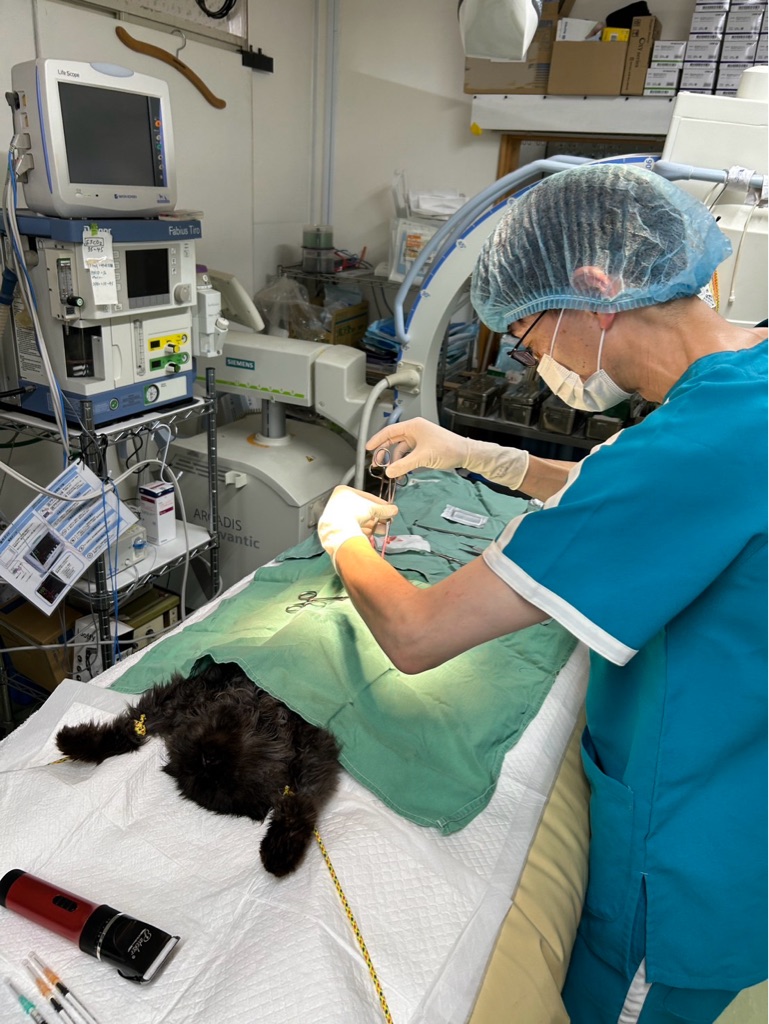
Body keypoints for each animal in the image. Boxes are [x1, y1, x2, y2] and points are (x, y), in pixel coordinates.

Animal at [55, 660, 341, 877]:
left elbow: (300, 801)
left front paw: (281, 849)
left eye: (214, 767)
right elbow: (129, 730)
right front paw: (73, 741)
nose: (208, 757)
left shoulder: (313, 746)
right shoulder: (174, 701)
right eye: (204, 763)